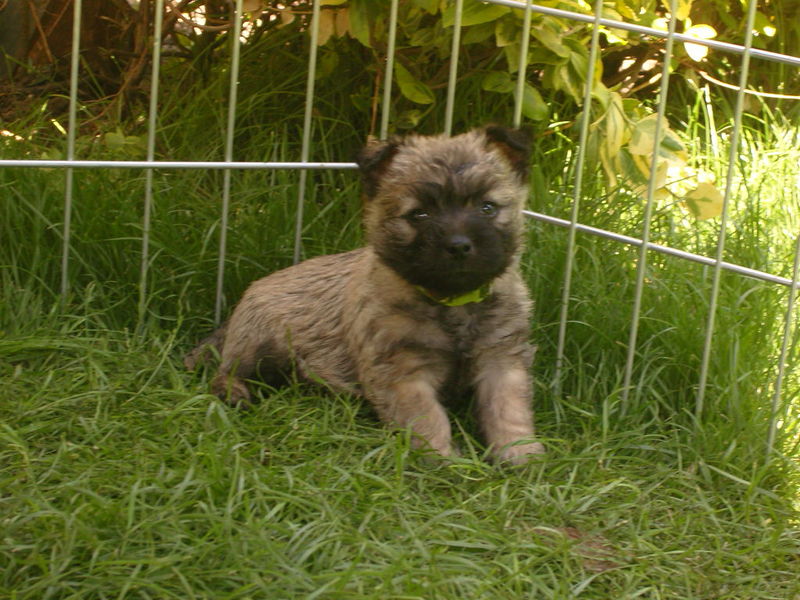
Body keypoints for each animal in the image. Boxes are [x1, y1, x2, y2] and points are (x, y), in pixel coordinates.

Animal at [185, 126, 548, 464]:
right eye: (419, 214)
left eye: (488, 207)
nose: (459, 246)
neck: (451, 302)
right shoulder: (403, 372)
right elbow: (426, 417)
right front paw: (440, 459)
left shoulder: (502, 360)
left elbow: (508, 410)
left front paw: (520, 454)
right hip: (261, 343)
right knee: (227, 370)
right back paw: (233, 392)